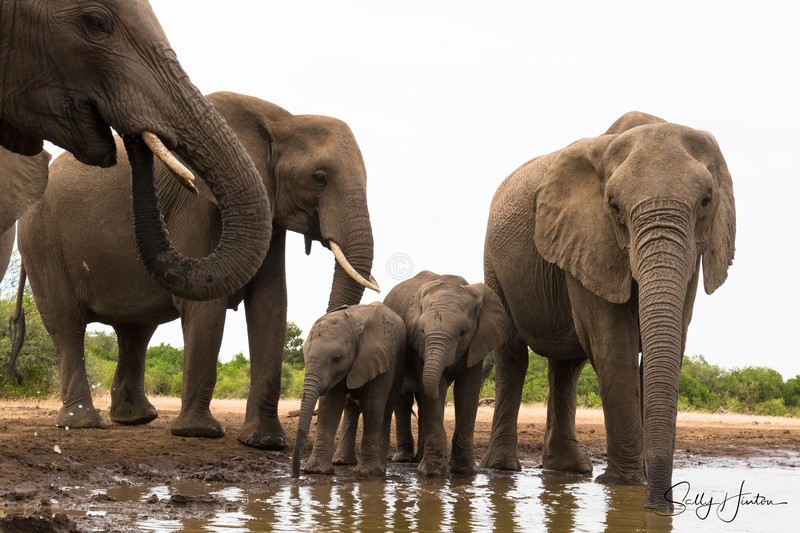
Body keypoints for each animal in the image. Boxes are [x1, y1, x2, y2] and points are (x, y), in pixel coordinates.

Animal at [16, 91, 377, 445]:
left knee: (136, 331)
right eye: (319, 178)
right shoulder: (197, 207)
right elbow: (207, 306)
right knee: (67, 324)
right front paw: (198, 433)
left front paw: (264, 442)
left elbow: (271, 304)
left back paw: (136, 419)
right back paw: (83, 424)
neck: (282, 120)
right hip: (42, 243)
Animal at [291, 302, 406, 478]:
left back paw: (380, 468)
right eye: (305, 354)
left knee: (386, 409)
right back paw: (341, 461)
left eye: (336, 359)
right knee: (352, 408)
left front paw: (367, 472)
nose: (295, 475)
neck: (353, 325)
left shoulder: (382, 357)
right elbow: (330, 405)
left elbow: (372, 404)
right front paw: (317, 471)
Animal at [481, 111, 735, 511]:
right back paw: (503, 469)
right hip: (494, 263)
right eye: (614, 207)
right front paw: (626, 485)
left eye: (707, 201)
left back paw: (569, 470)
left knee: (567, 367)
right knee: (513, 356)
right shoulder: (589, 237)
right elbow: (614, 346)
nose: (659, 506)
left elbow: (671, 341)